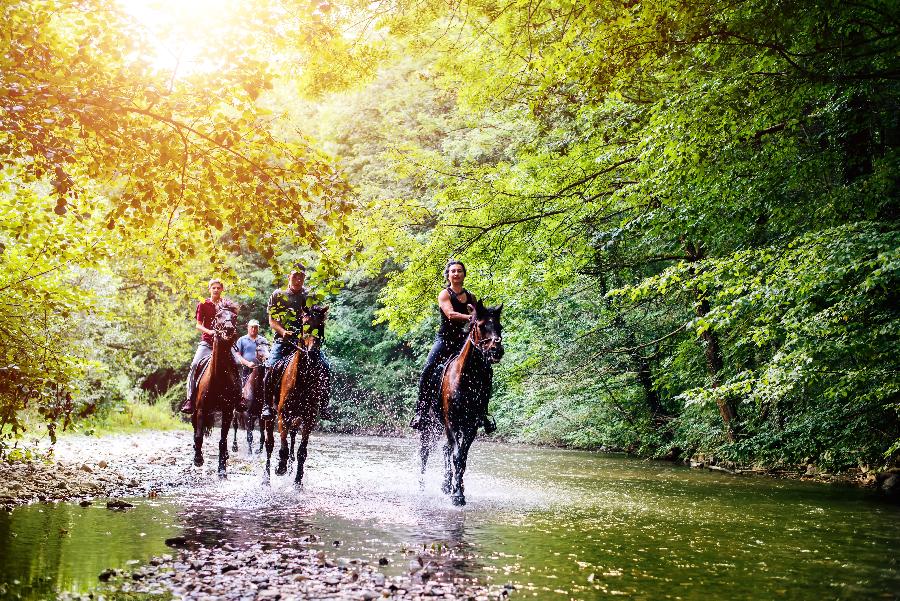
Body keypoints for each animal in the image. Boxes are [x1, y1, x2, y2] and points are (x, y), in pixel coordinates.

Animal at [264, 308, 330, 486]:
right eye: (305, 324)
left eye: (321, 325)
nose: (313, 353)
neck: (301, 379)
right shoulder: (283, 416)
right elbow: (283, 446)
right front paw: (280, 467)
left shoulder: (309, 419)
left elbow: (301, 451)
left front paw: (298, 481)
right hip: (269, 417)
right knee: (269, 445)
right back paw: (266, 480)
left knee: (292, 441)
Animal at [420, 302, 502, 504]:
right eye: (481, 326)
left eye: (500, 327)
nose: (497, 351)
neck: (467, 377)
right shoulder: (452, 423)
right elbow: (457, 455)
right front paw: (457, 495)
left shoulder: (470, 425)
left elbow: (462, 457)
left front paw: (458, 489)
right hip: (429, 425)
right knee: (425, 453)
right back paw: (422, 487)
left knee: (445, 449)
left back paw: (446, 484)